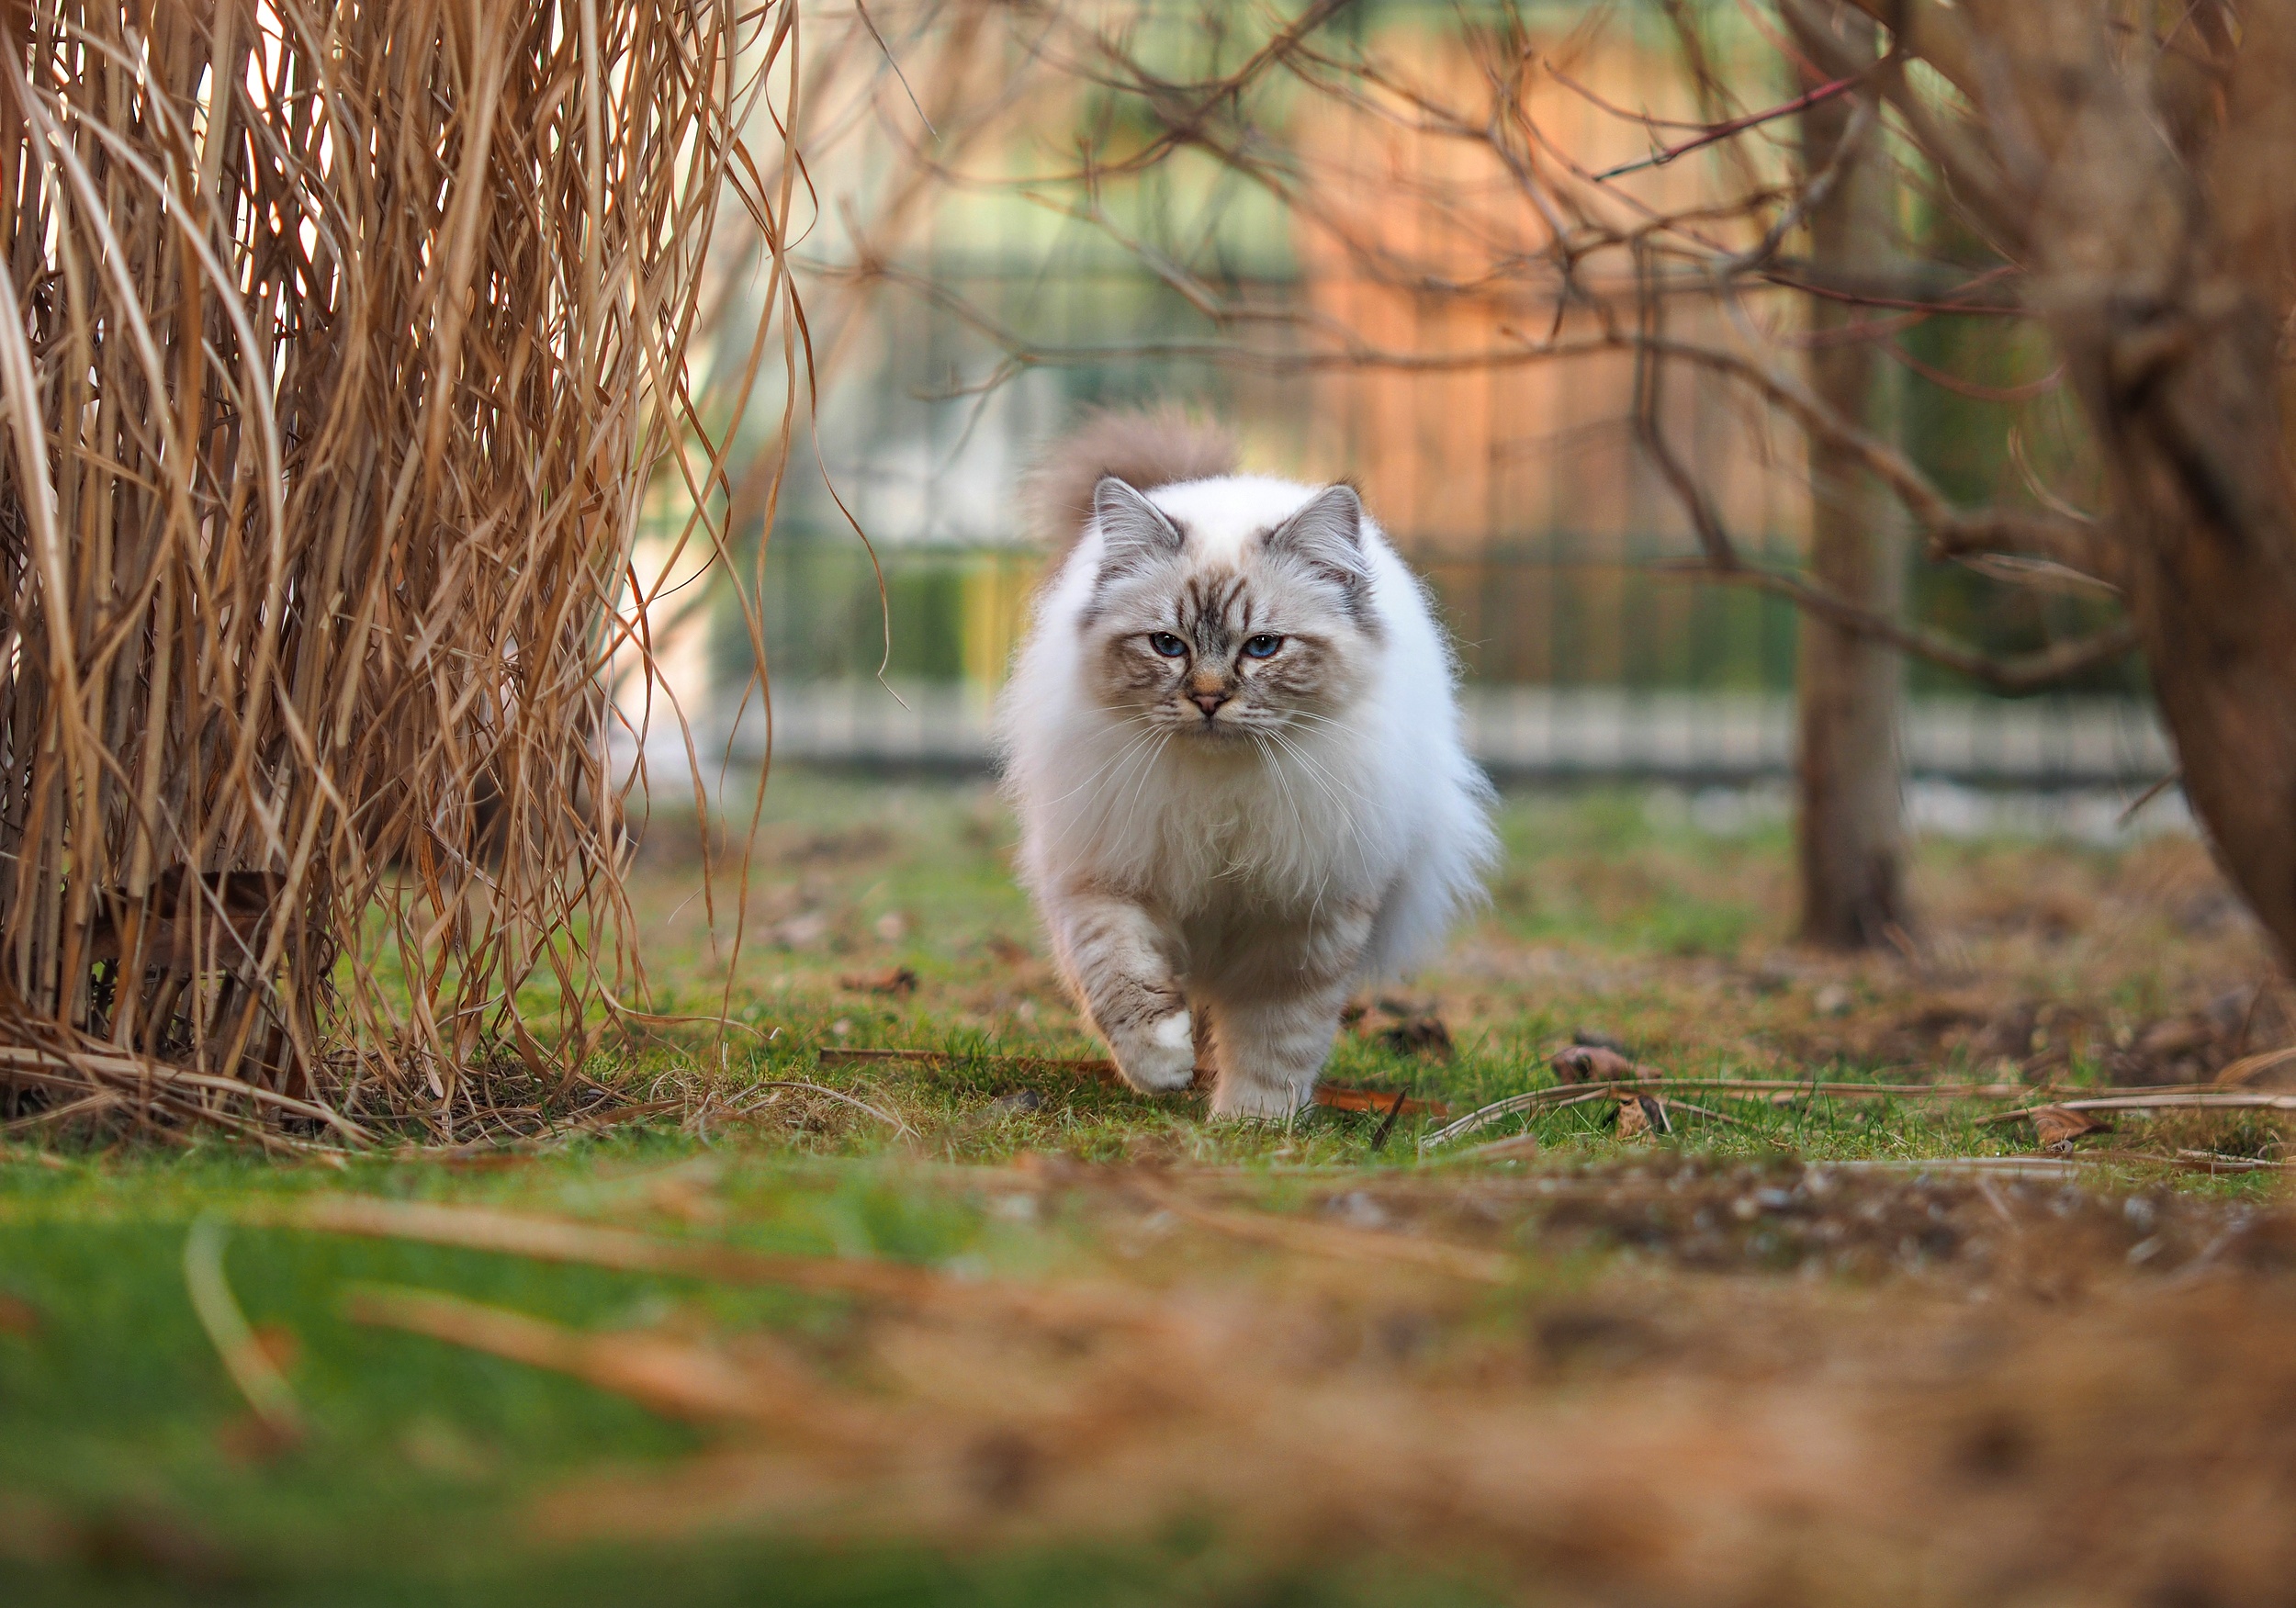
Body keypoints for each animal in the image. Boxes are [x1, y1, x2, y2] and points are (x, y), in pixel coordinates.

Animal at [996, 413, 1497, 1116]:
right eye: (1167, 644)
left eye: (1262, 647)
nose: (1208, 697)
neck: (1221, 795)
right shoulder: (1104, 879)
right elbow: (1122, 980)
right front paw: (1162, 1068)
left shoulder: (1303, 919)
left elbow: (1276, 1036)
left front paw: (1249, 1122)